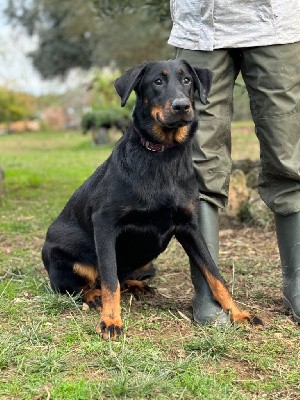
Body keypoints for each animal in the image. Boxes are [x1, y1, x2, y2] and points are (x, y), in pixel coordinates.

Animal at [42, 59, 262, 340]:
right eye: (157, 81)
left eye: (187, 80)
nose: (182, 106)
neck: (163, 155)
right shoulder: (105, 223)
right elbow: (110, 279)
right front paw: (111, 321)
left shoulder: (189, 226)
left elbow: (214, 274)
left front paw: (239, 313)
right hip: (65, 258)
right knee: (82, 285)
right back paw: (93, 295)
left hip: (148, 264)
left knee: (123, 278)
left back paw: (136, 285)